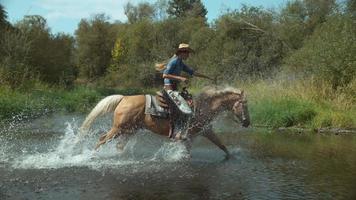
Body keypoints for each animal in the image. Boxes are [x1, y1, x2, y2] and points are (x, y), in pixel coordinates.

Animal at [79, 86, 249, 159]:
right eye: (244, 105)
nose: (247, 123)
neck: (203, 107)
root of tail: (124, 98)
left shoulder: (206, 131)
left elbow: (222, 145)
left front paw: (232, 156)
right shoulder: (189, 136)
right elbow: (187, 153)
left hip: (129, 130)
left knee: (119, 146)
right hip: (118, 128)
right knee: (102, 139)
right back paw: (90, 156)